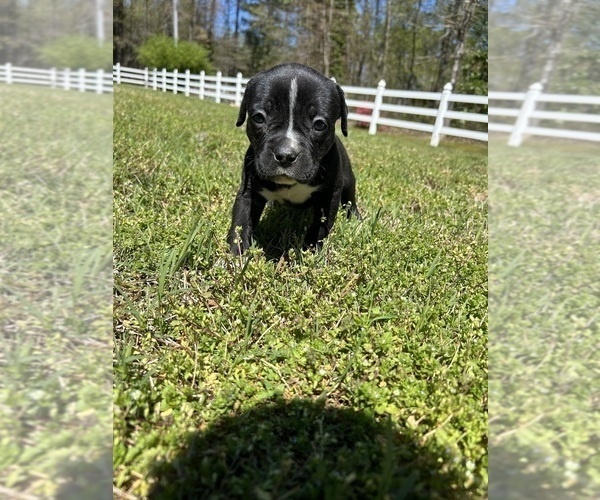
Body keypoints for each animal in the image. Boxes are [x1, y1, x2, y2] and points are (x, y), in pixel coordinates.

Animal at [227, 63, 358, 256]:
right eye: (258, 118)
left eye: (320, 124)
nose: (285, 155)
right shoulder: (248, 192)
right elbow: (241, 222)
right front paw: (236, 254)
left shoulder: (329, 196)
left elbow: (320, 226)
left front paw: (310, 252)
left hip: (348, 181)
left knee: (350, 200)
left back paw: (356, 219)